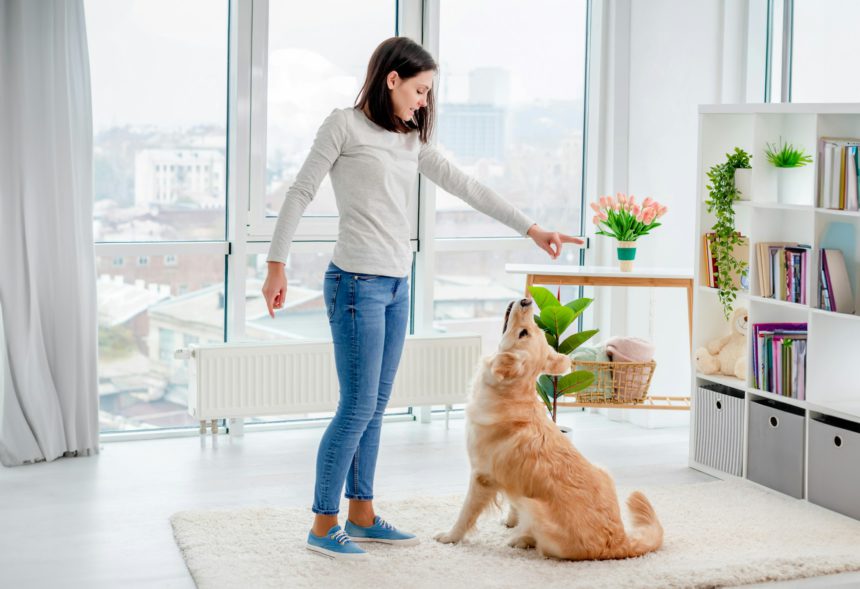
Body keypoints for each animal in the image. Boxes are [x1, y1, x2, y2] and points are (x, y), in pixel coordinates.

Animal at [436, 296, 664, 560]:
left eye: (524, 332)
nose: (526, 301)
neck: (510, 395)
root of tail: (619, 540)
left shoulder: (481, 476)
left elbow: (466, 513)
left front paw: (450, 537)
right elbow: (512, 500)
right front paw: (511, 520)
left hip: (534, 505)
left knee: (541, 544)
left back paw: (520, 539)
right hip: (603, 470)